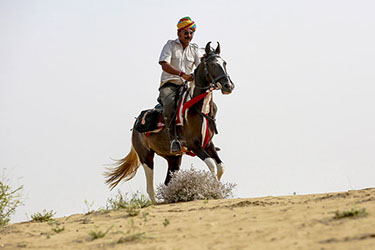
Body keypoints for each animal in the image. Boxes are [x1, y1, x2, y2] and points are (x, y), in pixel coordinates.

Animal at [106, 41, 234, 203]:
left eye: (224, 63)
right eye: (212, 64)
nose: (228, 86)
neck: (198, 108)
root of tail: (135, 126)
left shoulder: (208, 144)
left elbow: (221, 167)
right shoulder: (194, 144)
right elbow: (211, 164)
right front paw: (213, 192)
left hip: (174, 159)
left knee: (167, 182)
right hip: (146, 157)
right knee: (150, 187)